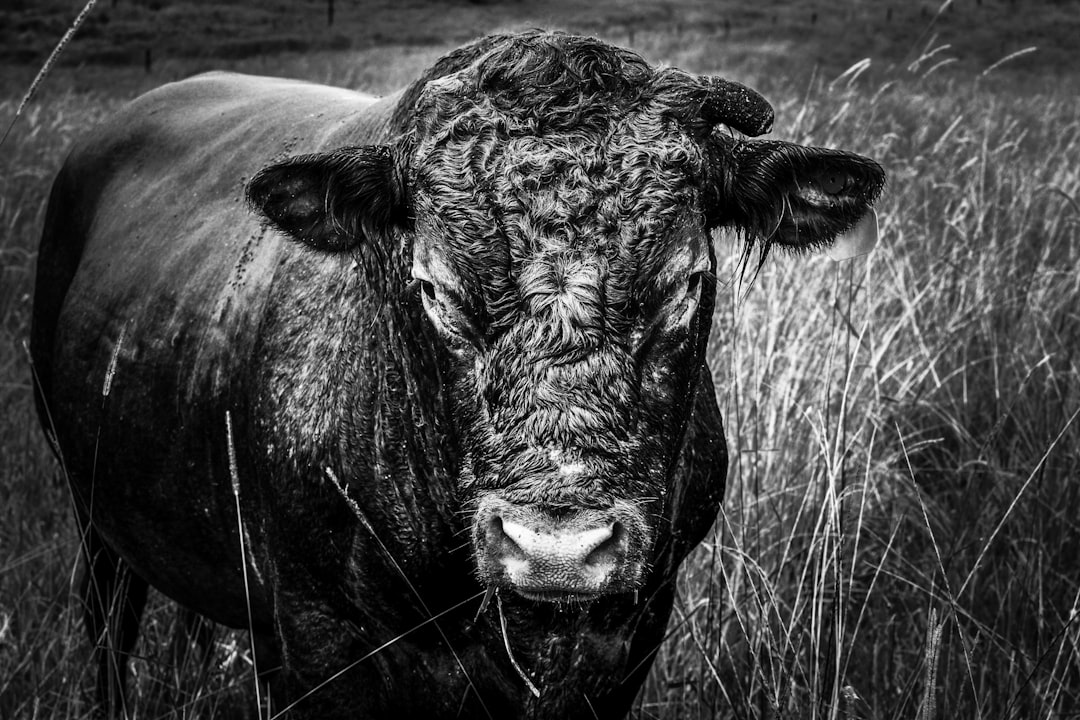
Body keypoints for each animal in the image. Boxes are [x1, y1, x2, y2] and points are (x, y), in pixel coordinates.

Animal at [31, 30, 884, 719]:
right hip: (90, 510)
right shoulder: (317, 635)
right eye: (432, 287)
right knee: (108, 631)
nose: (556, 549)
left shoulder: (632, 630)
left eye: (689, 281)